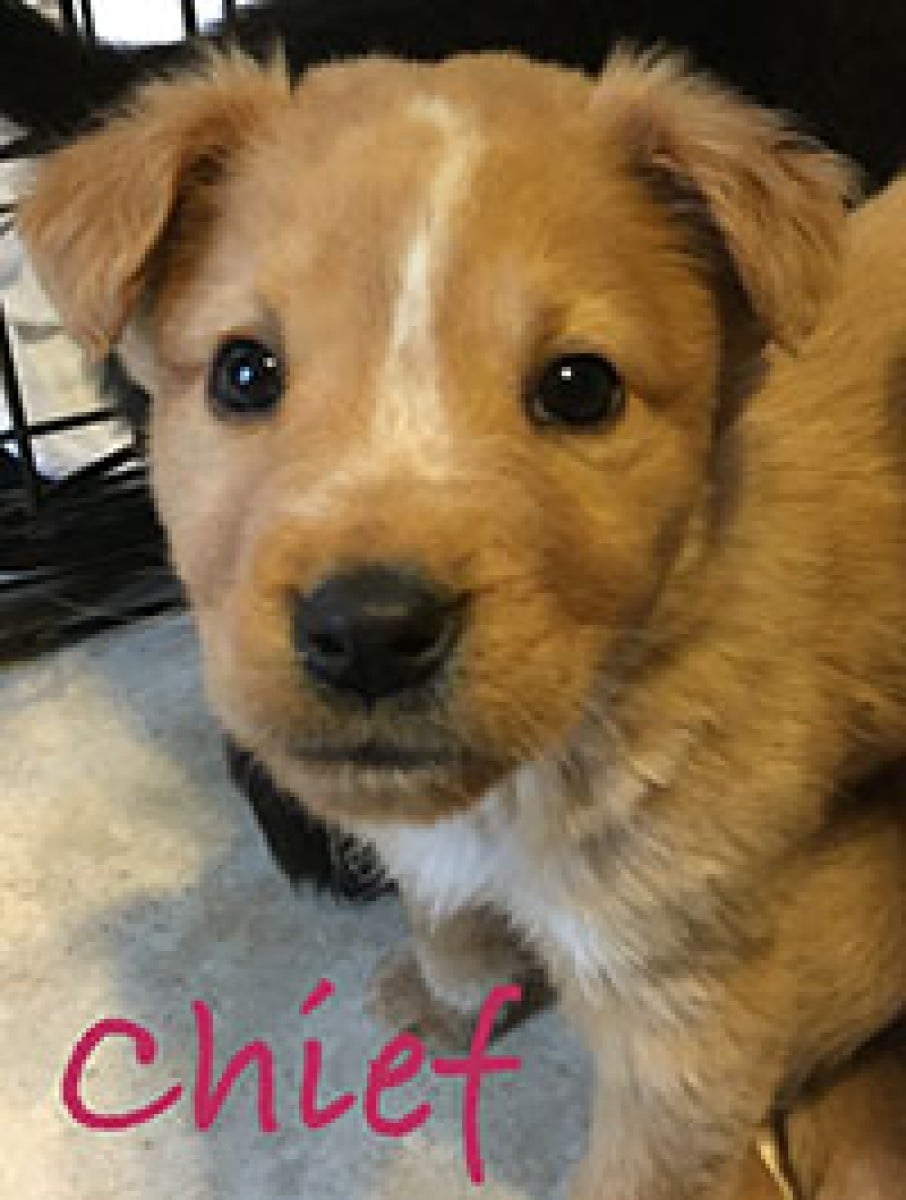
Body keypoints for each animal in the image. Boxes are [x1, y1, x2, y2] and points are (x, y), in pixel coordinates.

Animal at [17, 47, 906, 1199]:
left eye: (580, 387)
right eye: (244, 371)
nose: (367, 633)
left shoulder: (689, 1001)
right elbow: (440, 904)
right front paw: (451, 992)